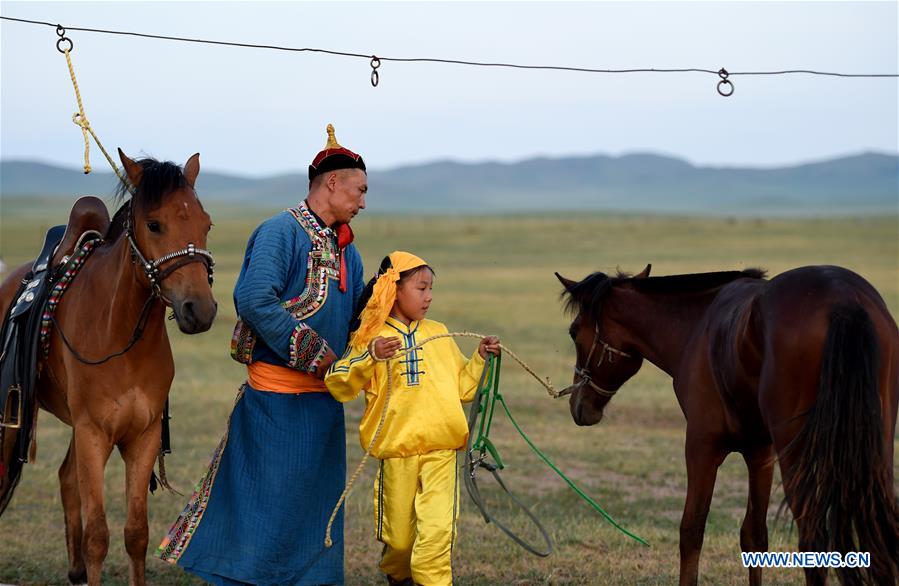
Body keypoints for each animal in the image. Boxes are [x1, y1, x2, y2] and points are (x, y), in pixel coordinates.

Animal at [0, 148, 218, 580]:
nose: (199, 310)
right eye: (154, 224)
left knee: (66, 479)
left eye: (206, 224)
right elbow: (98, 535)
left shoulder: (143, 436)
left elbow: (136, 534)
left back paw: (75, 573)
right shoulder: (93, 433)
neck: (119, 335)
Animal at [556, 264, 899, 584]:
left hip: (797, 459)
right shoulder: (760, 453)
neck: (696, 325)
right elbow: (754, 537)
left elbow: (691, 531)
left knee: (813, 541)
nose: (578, 405)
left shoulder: (701, 447)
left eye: (574, 331)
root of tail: (843, 301)